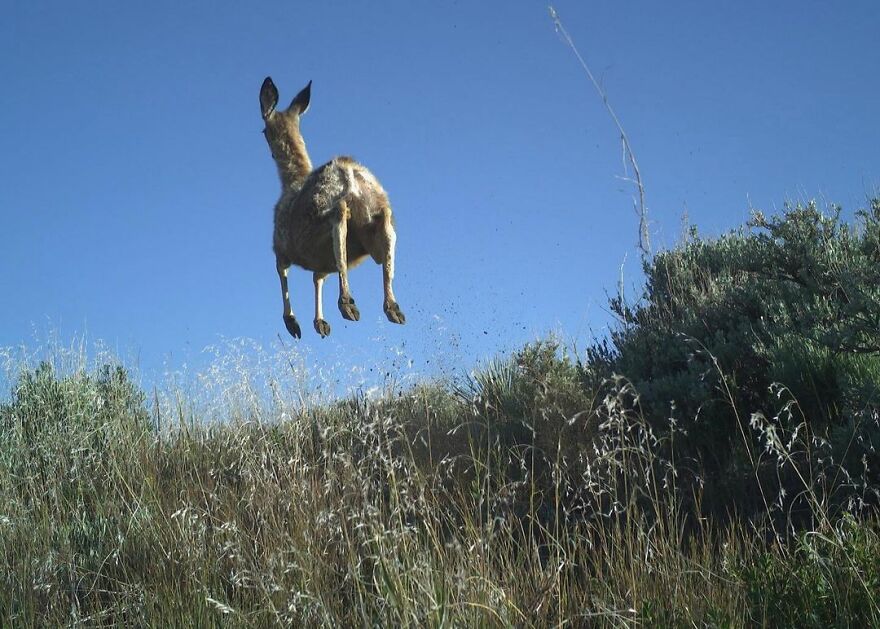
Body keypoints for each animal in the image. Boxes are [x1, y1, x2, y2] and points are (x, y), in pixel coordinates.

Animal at [256, 78, 404, 338]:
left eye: (265, 131)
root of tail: (350, 173)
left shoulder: (281, 246)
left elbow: (283, 273)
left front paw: (293, 323)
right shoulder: (320, 262)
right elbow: (318, 279)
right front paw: (320, 323)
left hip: (322, 212)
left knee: (340, 218)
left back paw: (348, 304)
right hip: (376, 220)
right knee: (384, 243)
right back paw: (393, 309)